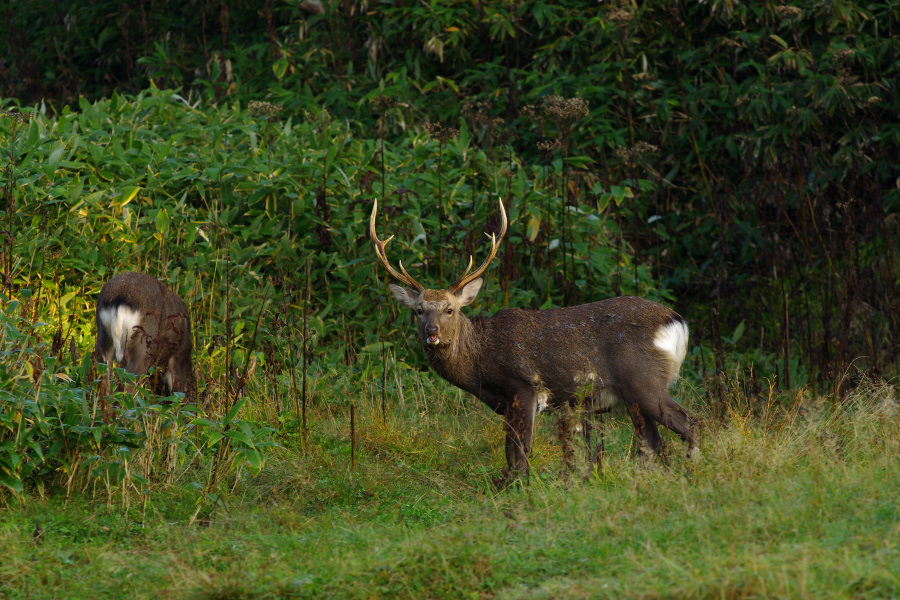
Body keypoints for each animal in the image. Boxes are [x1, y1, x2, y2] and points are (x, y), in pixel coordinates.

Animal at [370, 199, 700, 480]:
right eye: (418, 310)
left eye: (450, 309)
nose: (432, 333)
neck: (481, 364)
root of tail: (677, 322)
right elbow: (510, 450)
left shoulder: (524, 385)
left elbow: (520, 451)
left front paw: (516, 488)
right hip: (633, 396)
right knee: (652, 441)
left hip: (644, 380)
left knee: (690, 422)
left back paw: (691, 472)